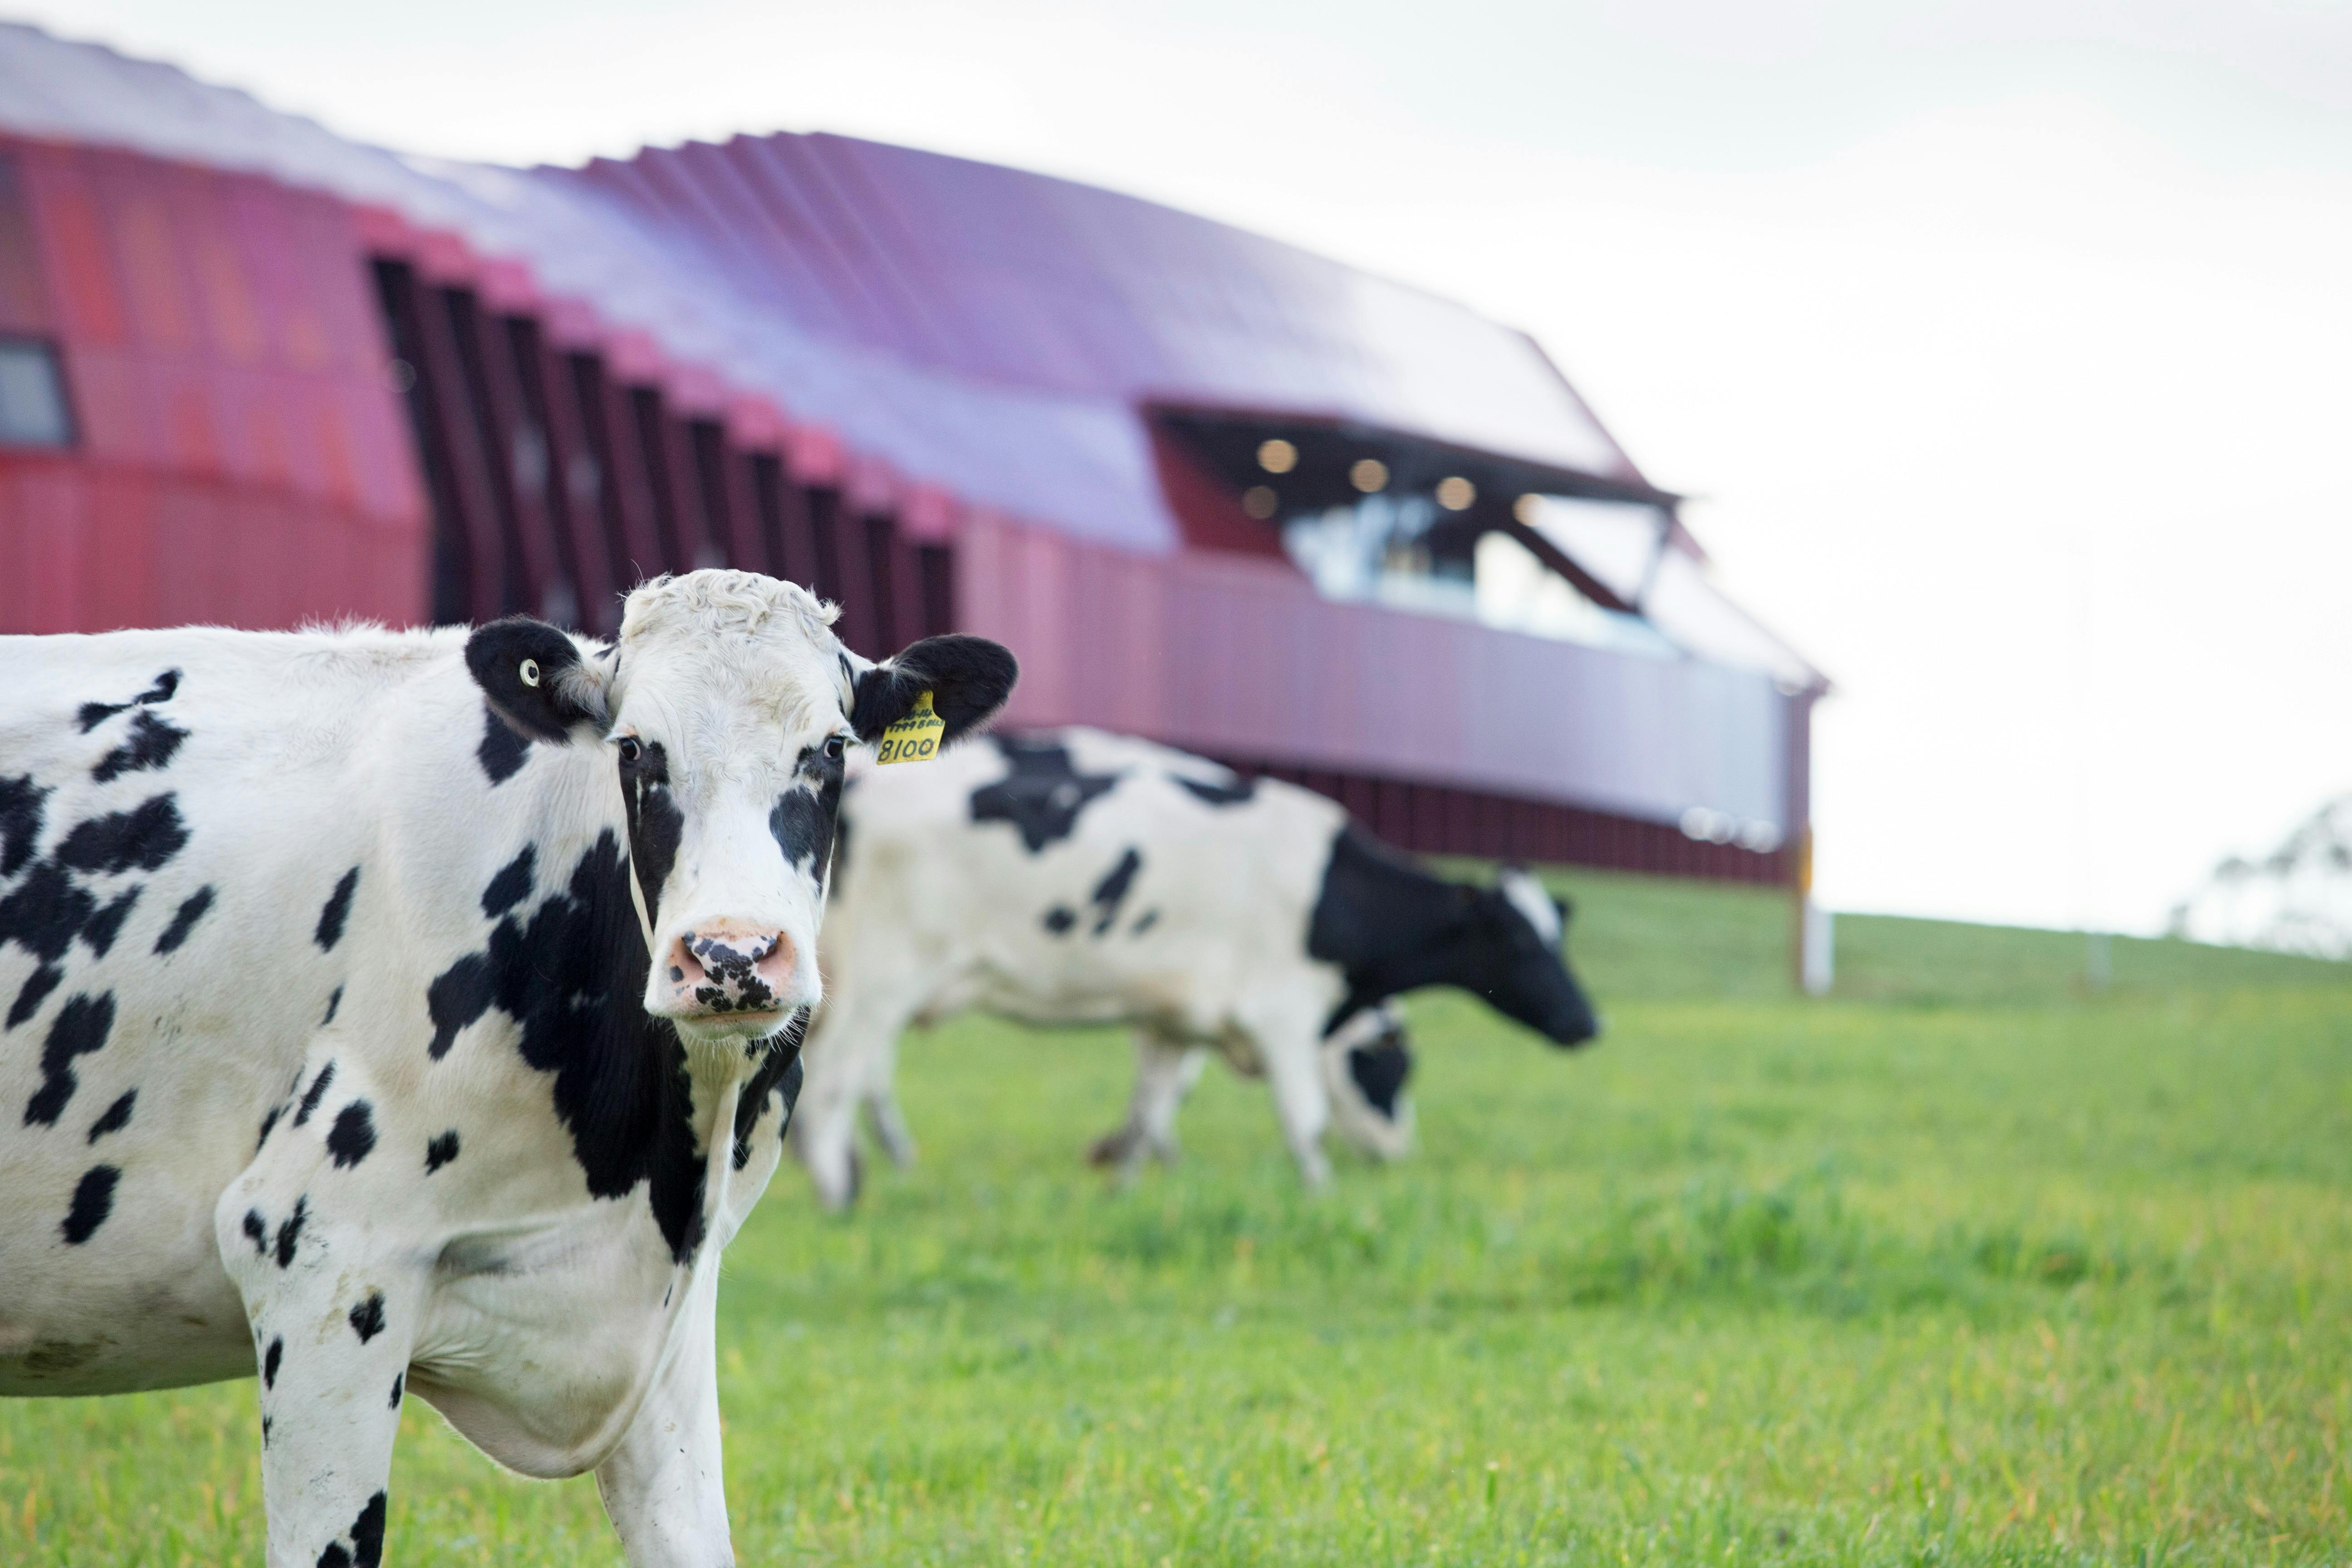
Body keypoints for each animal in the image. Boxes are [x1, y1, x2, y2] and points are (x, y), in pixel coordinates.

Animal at [791, 728, 1598, 1208]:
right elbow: (1304, 1120)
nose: (1587, 1024)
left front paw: (1121, 1181)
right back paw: (838, 1195)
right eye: (1522, 943)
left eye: (1557, 933)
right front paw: (1321, 1196)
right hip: (880, 983)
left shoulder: (1173, 1017)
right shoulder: (1284, 1014)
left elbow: (1153, 1106)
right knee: (835, 1084)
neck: (1327, 891)